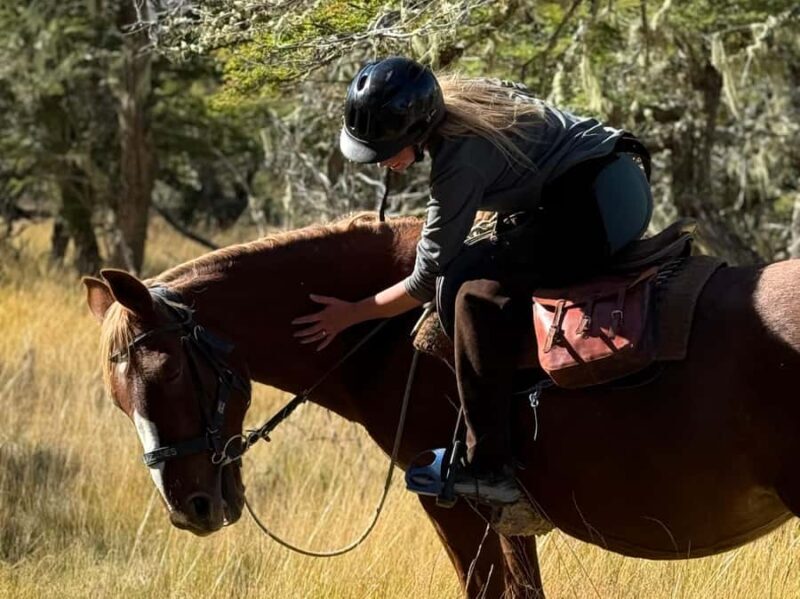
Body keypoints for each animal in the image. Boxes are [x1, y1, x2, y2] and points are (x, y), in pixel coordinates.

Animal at [83, 214, 800, 598]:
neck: (390, 334)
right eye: (118, 399)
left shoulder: (455, 503)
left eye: (170, 373)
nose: (191, 508)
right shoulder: (508, 517)